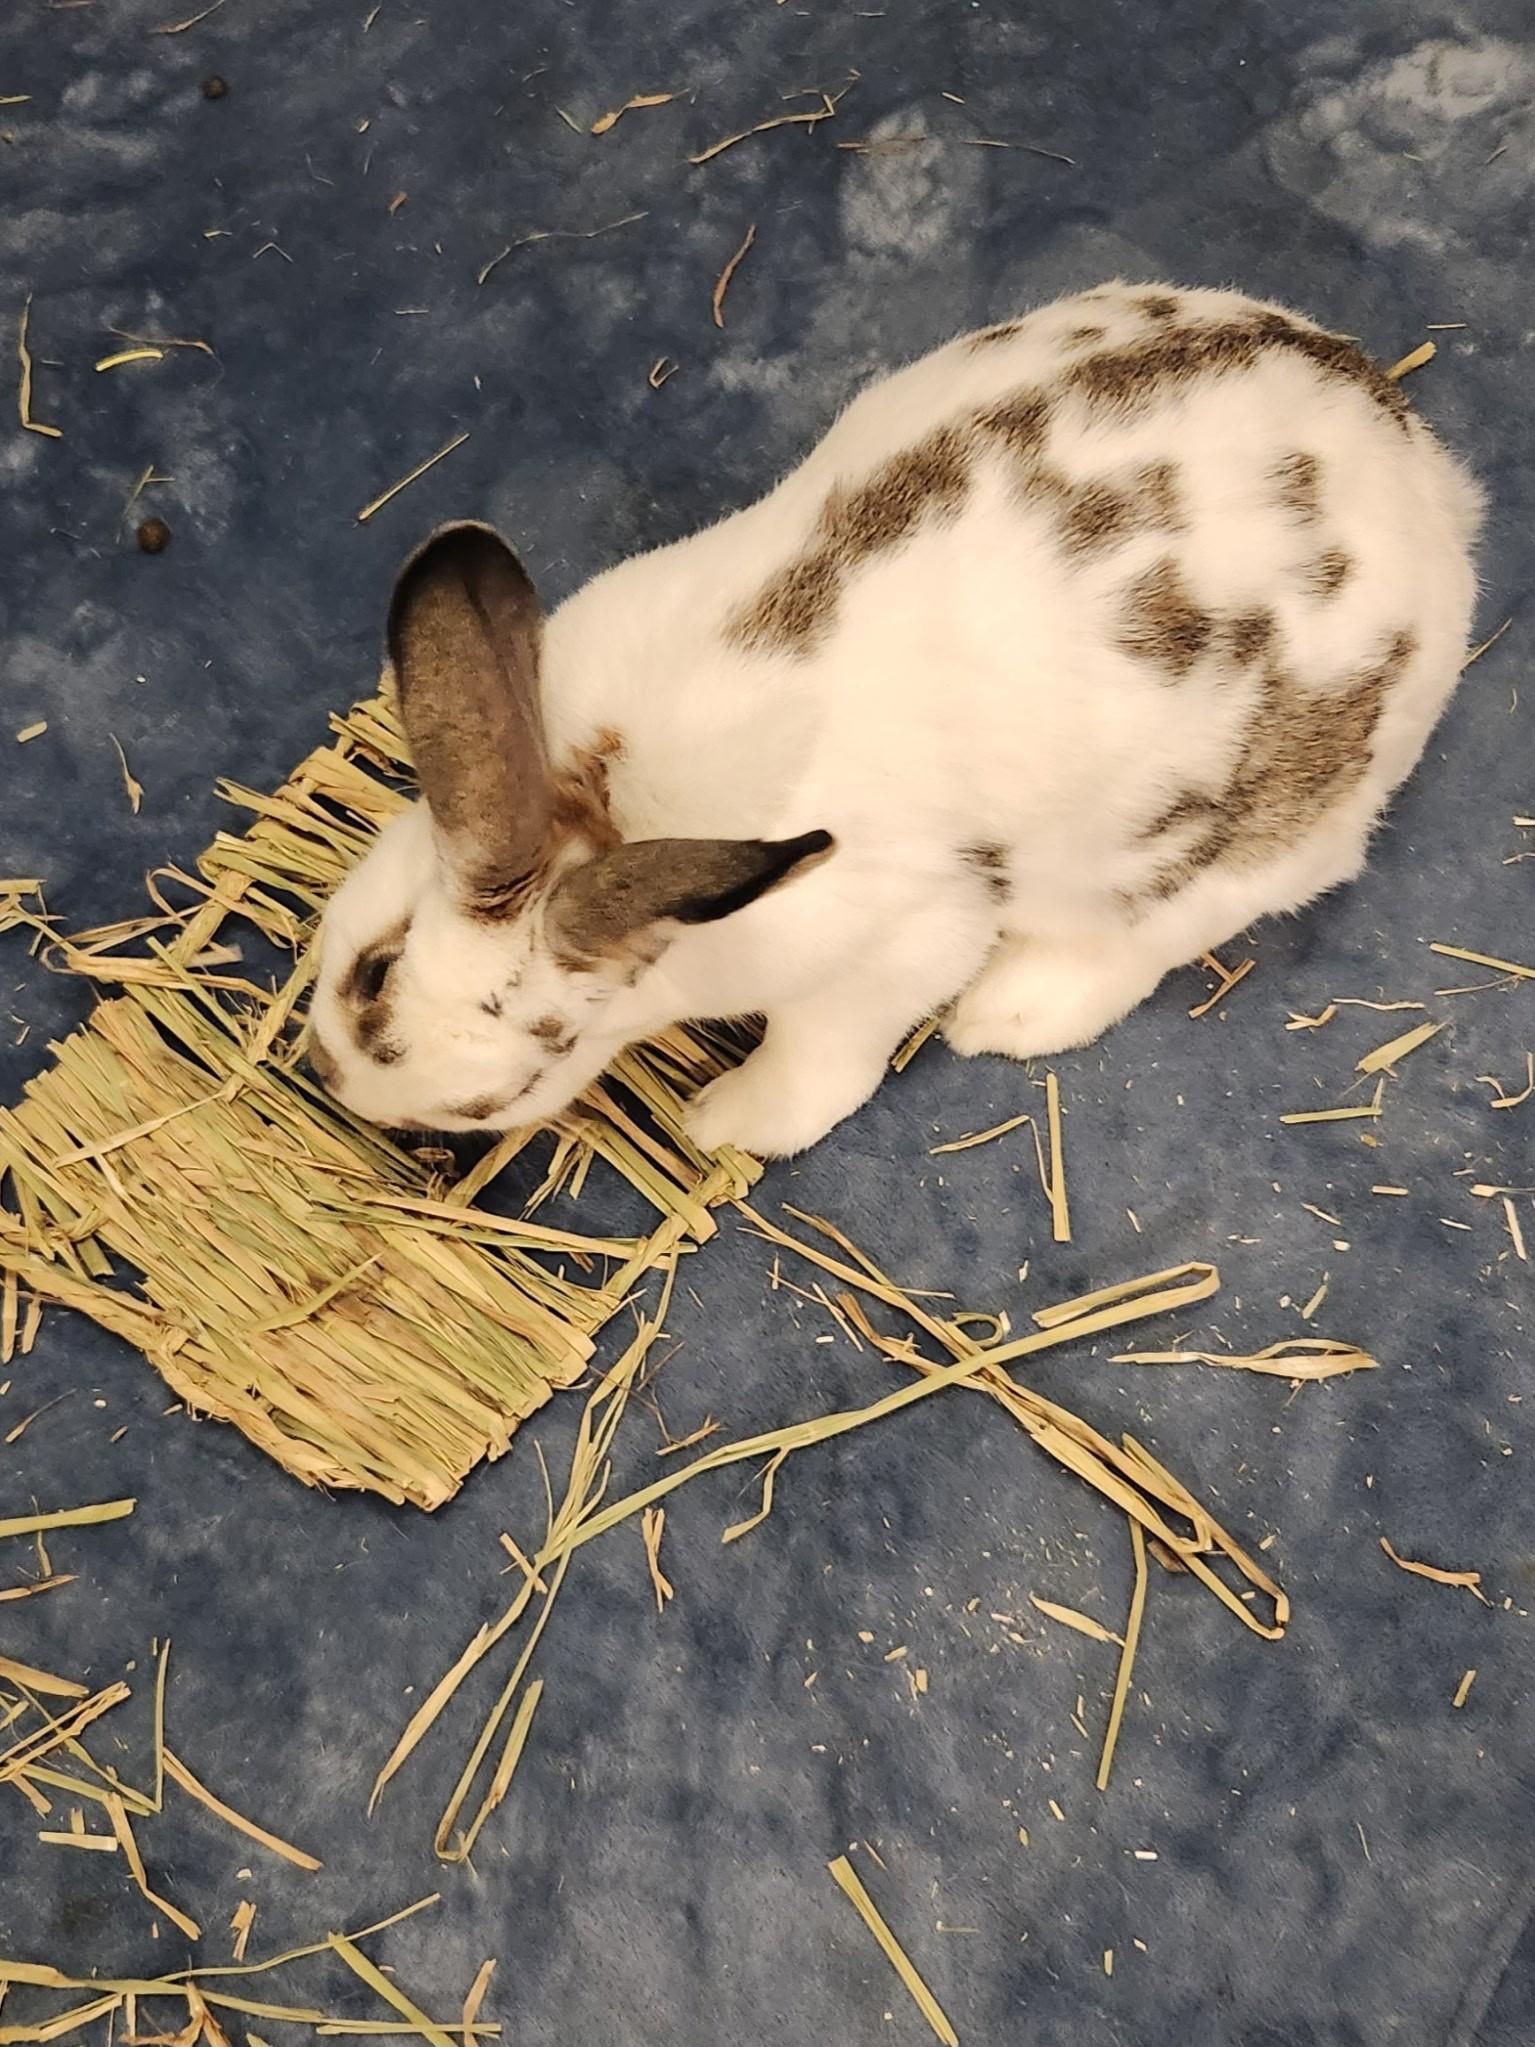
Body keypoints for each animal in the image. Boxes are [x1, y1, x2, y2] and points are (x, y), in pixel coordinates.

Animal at [307, 280, 1483, 1158]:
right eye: (359, 963)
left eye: (492, 1102)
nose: (332, 1079)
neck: (601, 817)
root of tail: (1424, 472)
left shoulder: (892, 948)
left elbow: (818, 1063)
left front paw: (725, 1122)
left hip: (1231, 846)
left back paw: (1010, 1010)